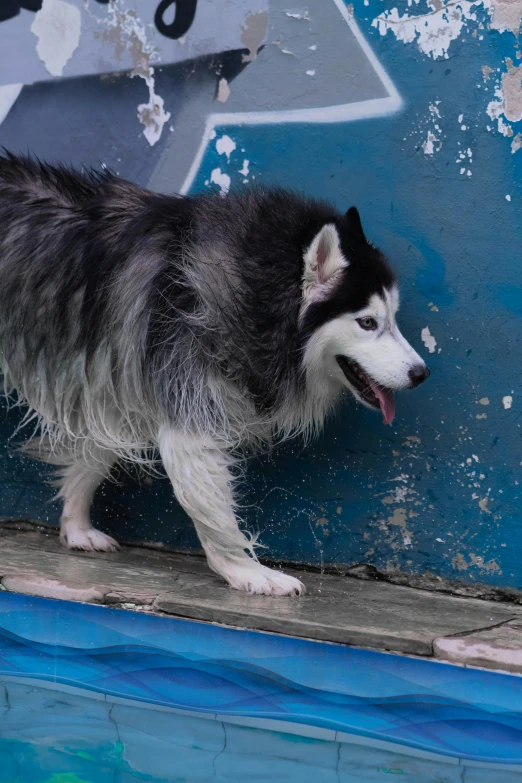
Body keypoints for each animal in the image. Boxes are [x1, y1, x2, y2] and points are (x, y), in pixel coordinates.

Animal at [0, 152, 426, 596]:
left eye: (393, 317)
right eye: (367, 323)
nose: (421, 373)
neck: (255, 284)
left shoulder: (114, 385)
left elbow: (95, 454)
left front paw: (75, 525)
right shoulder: (186, 411)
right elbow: (210, 507)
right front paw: (247, 571)